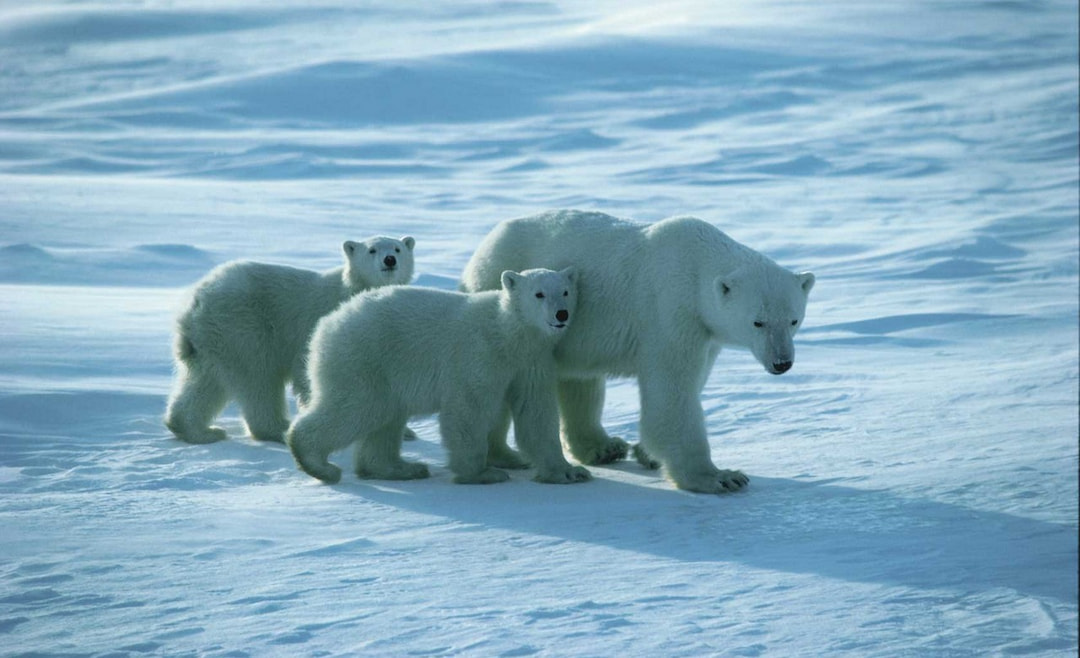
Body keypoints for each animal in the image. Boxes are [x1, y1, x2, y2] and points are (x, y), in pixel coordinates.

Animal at [165, 235, 415, 445]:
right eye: (372, 250)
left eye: (398, 248)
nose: (390, 260)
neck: (355, 290)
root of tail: (195, 302)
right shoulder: (320, 324)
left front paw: (406, 432)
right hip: (244, 326)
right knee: (258, 377)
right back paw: (277, 428)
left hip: (213, 338)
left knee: (205, 381)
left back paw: (199, 431)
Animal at [286, 267, 592, 487]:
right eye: (539, 294)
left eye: (566, 291)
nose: (561, 314)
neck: (509, 333)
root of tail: (328, 324)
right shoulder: (479, 354)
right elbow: (468, 408)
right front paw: (481, 473)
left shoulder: (532, 362)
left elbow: (536, 413)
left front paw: (569, 472)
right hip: (364, 358)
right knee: (357, 408)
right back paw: (318, 463)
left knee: (385, 417)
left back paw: (401, 468)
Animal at [460, 210, 815, 494]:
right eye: (758, 322)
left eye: (793, 320)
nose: (782, 363)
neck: (697, 265)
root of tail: (481, 250)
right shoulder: (671, 309)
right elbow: (672, 391)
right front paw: (719, 477)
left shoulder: (706, 331)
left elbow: (694, 379)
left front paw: (645, 454)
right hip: (509, 301)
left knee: (579, 381)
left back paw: (603, 447)